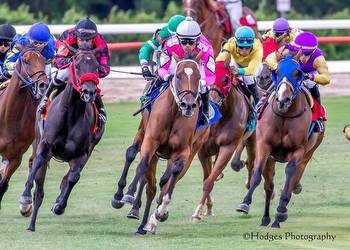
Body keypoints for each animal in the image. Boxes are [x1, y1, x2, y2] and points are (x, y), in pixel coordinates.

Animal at [0, 48, 49, 207]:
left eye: (44, 60)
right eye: (26, 61)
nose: (43, 84)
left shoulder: (16, 157)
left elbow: (3, 185)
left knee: (33, 161)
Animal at [19, 49, 103, 231]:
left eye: (96, 67)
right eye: (77, 66)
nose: (89, 91)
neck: (71, 116)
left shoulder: (82, 154)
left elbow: (73, 178)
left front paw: (59, 205)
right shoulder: (45, 146)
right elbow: (37, 165)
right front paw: (25, 196)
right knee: (38, 184)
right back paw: (31, 223)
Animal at [235, 54, 326, 229]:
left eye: (297, 73)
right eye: (277, 71)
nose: (283, 99)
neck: (284, 115)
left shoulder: (298, 151)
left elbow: (289, 176)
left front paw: (281, 212)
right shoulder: (264, 146)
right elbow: (257, 175)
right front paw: (244, 203)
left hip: (308, 154)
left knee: (293, 180)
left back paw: (279, 216)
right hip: (271, 158)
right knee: (268, 187)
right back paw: (265, 219)